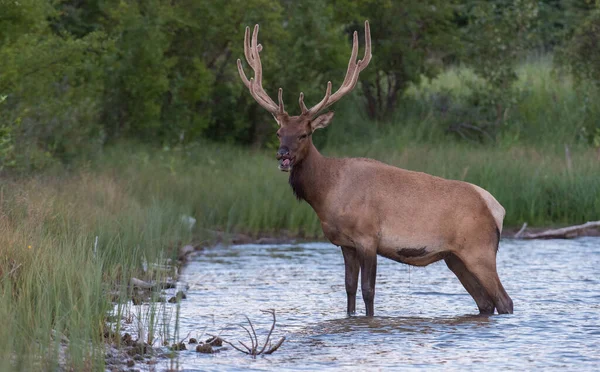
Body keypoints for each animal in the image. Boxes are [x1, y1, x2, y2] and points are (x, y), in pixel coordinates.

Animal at [237, 21, 512, 316]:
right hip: (455, 258)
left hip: (479, 250)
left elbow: (368, 291)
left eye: (304, 134)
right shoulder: (345, 244)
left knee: (505, 301)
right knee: (485, 303)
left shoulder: (368, 237)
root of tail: (498, 209)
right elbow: (349, 289)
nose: (283, 156)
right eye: (279, 133)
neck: (326, 194)